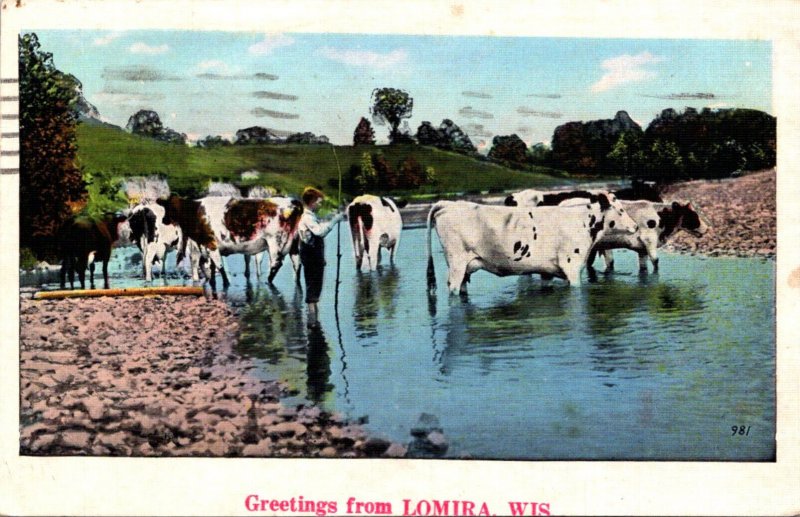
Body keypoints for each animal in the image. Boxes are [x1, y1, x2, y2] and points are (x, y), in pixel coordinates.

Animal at [424, 191, 636, 294]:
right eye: (620, 210)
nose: (635, 226)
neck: (581, 220)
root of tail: (447, 204)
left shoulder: (547, 271)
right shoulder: (572, 268)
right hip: (457, 264)